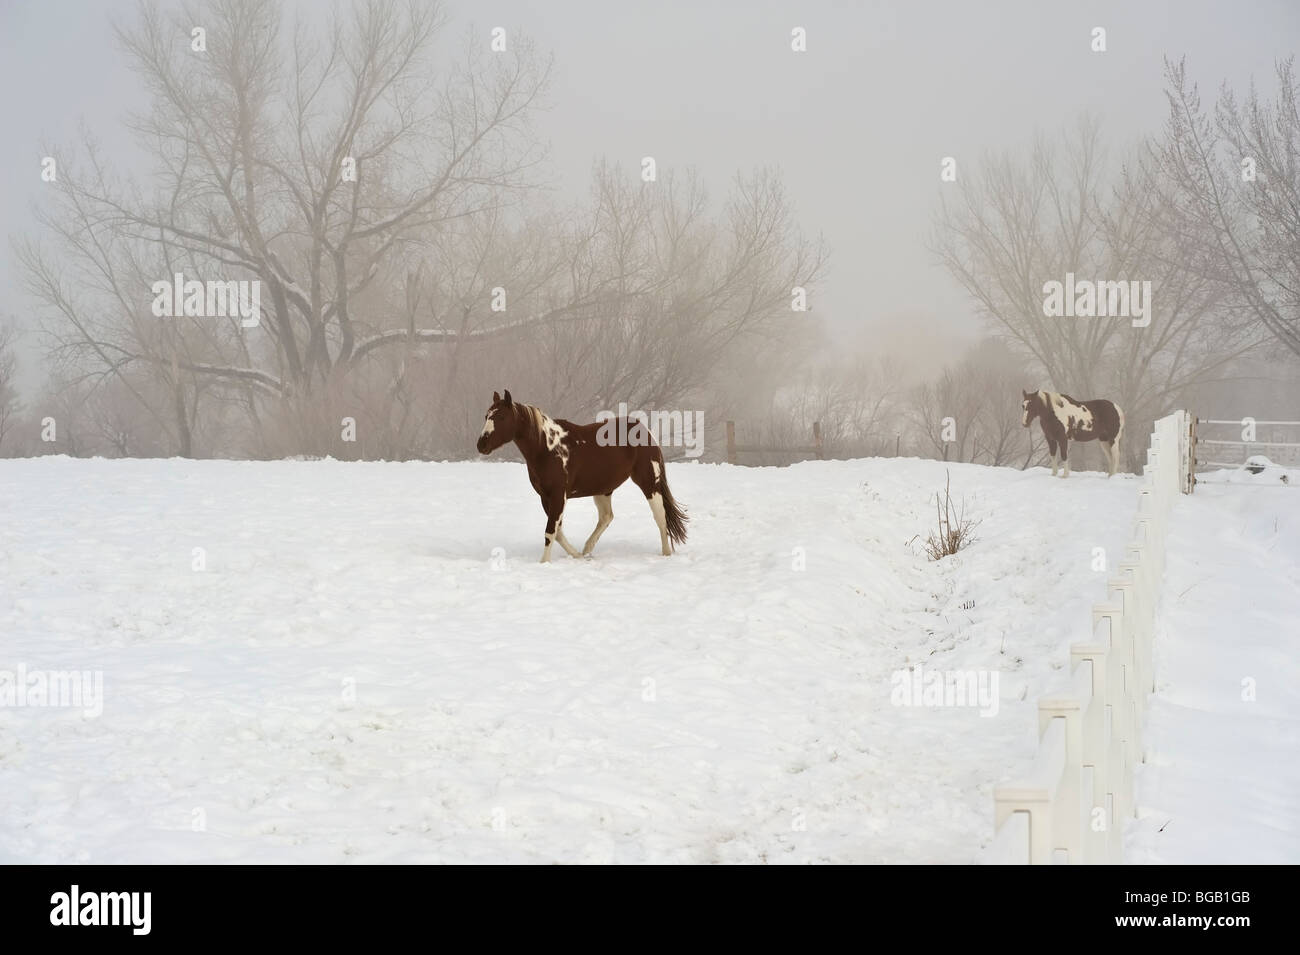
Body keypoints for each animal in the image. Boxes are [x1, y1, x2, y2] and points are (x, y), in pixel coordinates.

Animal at [476, 390, 688, 562]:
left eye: (501, 417)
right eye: (486, 415)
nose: (481, 445)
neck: (547, 447)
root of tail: (643, 430)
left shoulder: (558, 495)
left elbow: (550, 531)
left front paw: (544, 562)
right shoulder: (546, 497)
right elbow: (557, 532)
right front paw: (576, 555)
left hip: (649, 483)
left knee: (660, 516)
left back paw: (666, 553)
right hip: (603, 489)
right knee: (606, 517)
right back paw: (587, 549)